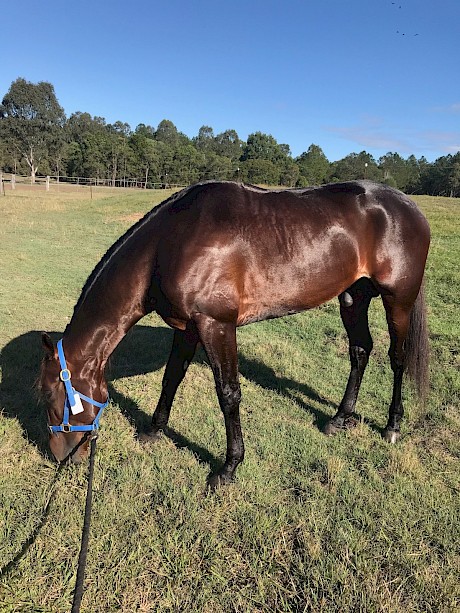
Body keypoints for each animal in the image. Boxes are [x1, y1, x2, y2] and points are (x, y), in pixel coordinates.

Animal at [37, 179, 430, 486]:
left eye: (50, 396)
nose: (59, 457)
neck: (169, 244)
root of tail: (409, 207)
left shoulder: (217, 325)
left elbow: (228, 394)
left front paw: (229, 467)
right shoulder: (188, 328)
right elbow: (171, 377)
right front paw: (153, 430)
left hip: (398, 299)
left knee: (396, 358)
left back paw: (392, 425)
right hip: (353, 296)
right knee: (360, 350)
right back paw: (340, 418)